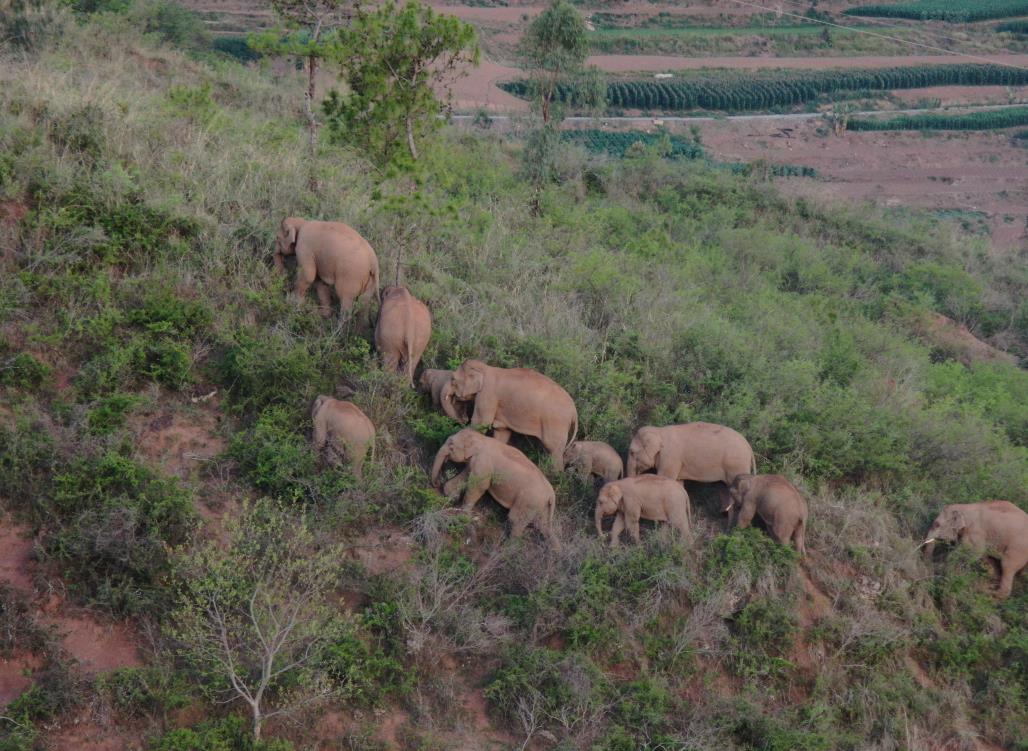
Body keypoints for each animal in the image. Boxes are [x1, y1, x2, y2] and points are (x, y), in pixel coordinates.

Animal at [433, 429, 563, 546]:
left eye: (451, 445)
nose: (436, 484)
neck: (481, 438)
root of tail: (551, 494)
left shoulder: (483, 462)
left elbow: (479, 485)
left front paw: (463, 515)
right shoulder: (476, 462)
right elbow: (466, 476)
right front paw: (449, 495)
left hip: (529, 500)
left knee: (515, 520)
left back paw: (508, 548)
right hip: (541, 505)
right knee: (543, 526)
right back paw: (556, 551)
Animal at [450, 359, 579, 470]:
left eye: (453, 379)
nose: (463, 417)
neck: (486, 368)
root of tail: (574, 412)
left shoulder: (487, 395)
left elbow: (481, 423)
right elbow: (502, 431)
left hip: (556, 424)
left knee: (554, 451)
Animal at [620, 419, 752, 484]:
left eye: (632, 452)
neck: (658, 431)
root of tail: (749, 447)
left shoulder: (670, 458)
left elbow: (665, 478)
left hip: (736, 466)